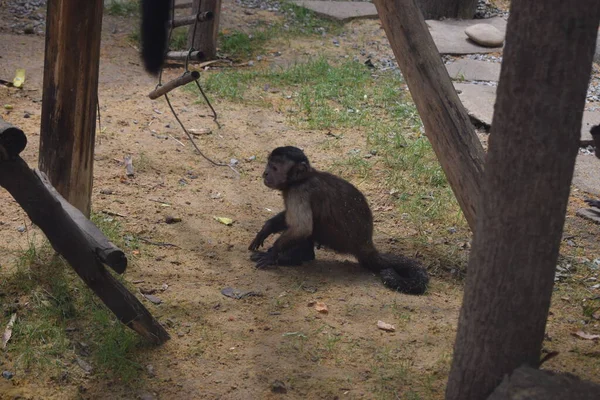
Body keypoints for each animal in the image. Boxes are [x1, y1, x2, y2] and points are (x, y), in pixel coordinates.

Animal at [250, 145, 432, 296]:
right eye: (268, 165)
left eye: (274, 168)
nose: (265, 173)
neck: (302, 178)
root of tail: (366, 245)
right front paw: (266, 229)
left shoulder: (298, 191)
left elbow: (302, 228)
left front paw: (272, 254)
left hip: (337, 239)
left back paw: (295, 257)